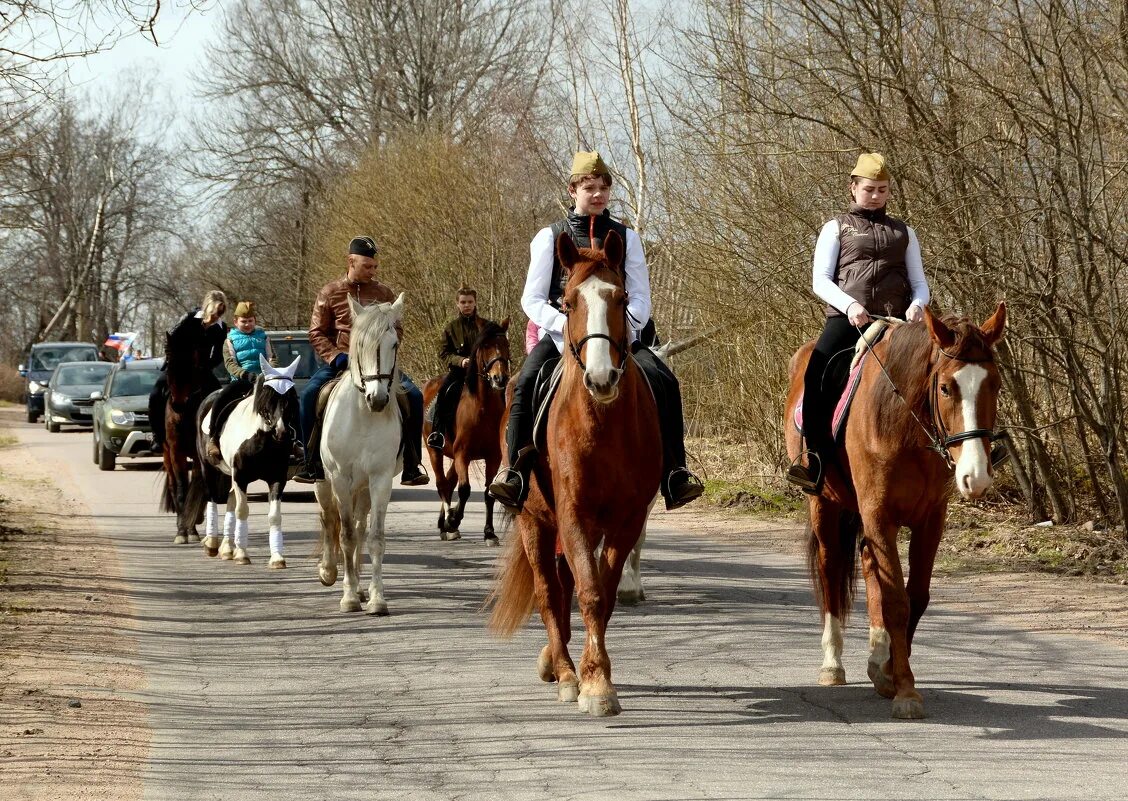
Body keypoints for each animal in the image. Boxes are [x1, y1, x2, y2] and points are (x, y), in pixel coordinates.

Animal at [189, 354, 304, 568]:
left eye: (292, 397)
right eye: (268, 395)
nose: (282, 432)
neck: (261, 440)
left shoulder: (277, 478)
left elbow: (274, 516)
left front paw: (277, 558)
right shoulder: (241, 477)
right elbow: (242, 511)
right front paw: (242, 554)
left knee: (229, 499)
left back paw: (227, 548)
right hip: (209, 468)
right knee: (213, 498)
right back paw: (212, 544)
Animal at [315, 295, 408, 613]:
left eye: (394, 343)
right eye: (361, 344)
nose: (377, 399)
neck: (364, 417)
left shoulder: (380, 480)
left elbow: (374, 538)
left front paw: (376, 598)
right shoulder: (340, 478)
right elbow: (345, 536)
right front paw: (349, 597)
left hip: (363, 487)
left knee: (357, 525)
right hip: (324, 482)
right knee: (329, 518)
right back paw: (329, 571)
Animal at [424, 320, 512, 546]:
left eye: (505, 344)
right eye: (485, 346)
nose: (500, 378)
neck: (481, 407)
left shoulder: (492, 457)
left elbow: (488, 492)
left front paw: (489, 533)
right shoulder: (463, 454)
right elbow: (464, 489)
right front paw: (454, 519)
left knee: (449, 481)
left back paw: (444, 524)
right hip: (434, 450)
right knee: (442, 483)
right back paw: (448, 524)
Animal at [489, 229, 663, 717]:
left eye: (621, 298)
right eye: (567, 302)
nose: (602, 378)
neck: (601, 426)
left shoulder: (626, 520)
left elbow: (603, 591)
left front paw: (597, 676)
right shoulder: (573, 515)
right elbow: (587, 592)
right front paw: (593, 684)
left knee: (565, 585)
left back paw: (558, 660)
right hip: (534, 522)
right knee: (550, 592)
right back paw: (565, 671)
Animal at [785, 306, 1006, 722]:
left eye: (996, 385)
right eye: (945, 388)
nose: (977, 476)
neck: (905, 425)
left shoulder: (930, 520)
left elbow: (914, 597)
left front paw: (889, 672)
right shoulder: (879, 515)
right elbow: (896, 601)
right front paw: (905, 691)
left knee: (870, 565)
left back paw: (877, 655)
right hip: (824, 503)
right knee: (830, 567)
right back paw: (832, 664)